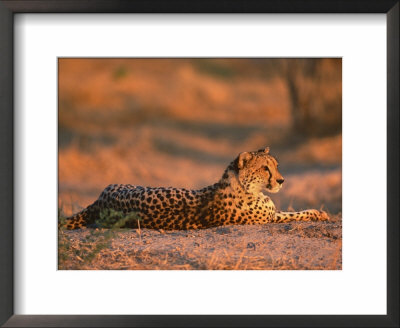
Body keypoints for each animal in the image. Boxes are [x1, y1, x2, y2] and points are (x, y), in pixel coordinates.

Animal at [62, 147, 328, 229]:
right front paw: (321, 213)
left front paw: (321, 212)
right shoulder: (270, 218)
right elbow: (298, 214)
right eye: (265, 168)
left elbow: (296, 212)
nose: (281, 181)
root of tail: (100, 200)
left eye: (276, 166)